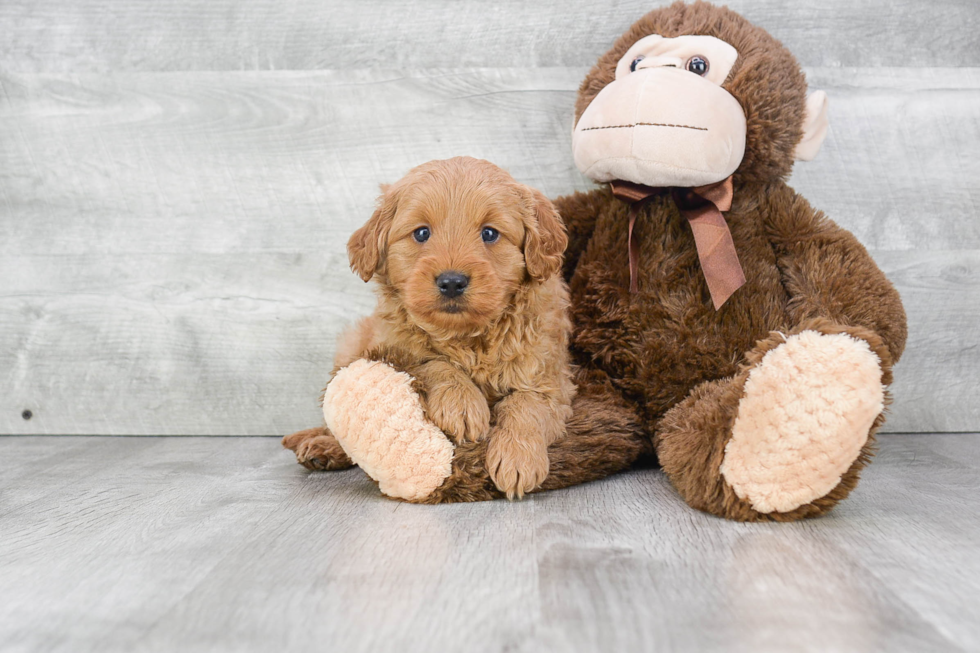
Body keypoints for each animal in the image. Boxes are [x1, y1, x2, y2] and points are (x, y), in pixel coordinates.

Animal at [284, 155, 576, 496]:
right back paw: (322, 446)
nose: (451, 282)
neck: (466, 337)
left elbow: (528, 403)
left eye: (490, 234)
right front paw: (462, 403)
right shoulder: (393, 345)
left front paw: (518, 458)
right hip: (351, 346)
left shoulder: (549, 378)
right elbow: (430, 361)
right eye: (422, 233)